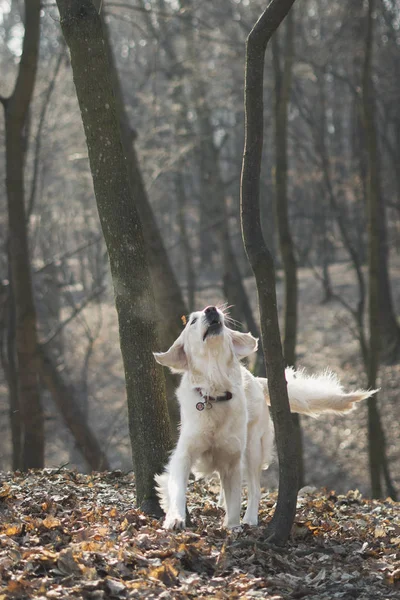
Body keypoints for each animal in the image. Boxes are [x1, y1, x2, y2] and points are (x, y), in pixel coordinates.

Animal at [154, 308, 376, 528]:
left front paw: (232, 527)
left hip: (252, 449)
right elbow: (177, 488)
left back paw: (250, 519)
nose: (212, 309)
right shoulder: (185, 453)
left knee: (255, 489)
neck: (215, 392)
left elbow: (235, 501)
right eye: (192, 321)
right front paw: (175, 518)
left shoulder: (233, 460)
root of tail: (257, 380)